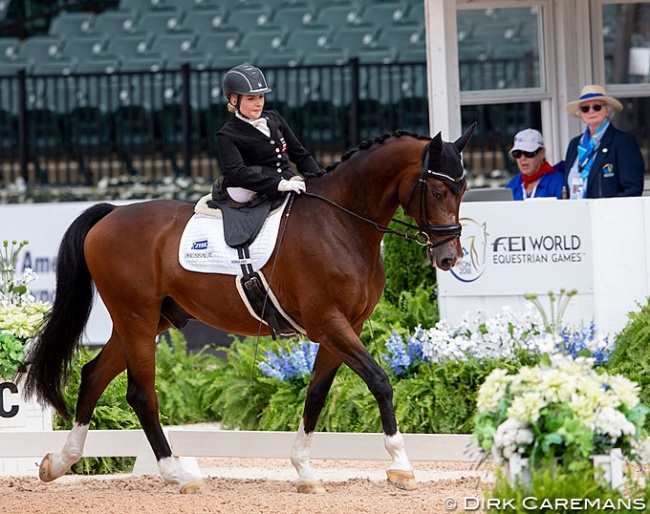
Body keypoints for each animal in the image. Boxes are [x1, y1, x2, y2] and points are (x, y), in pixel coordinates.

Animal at [22, 124, 474, 492]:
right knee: (141, 393)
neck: (342, 225)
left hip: (150, 320)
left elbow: (316, 393)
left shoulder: (347, 326)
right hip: (137, 318)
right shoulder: (329, 322)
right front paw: (401, 466)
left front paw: (305, 471)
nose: (449, 257)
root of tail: (111, 214)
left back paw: (58, 463)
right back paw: (178, 474)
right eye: (437, 191)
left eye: (464, 190)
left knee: (93, 375)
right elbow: (379, 381)